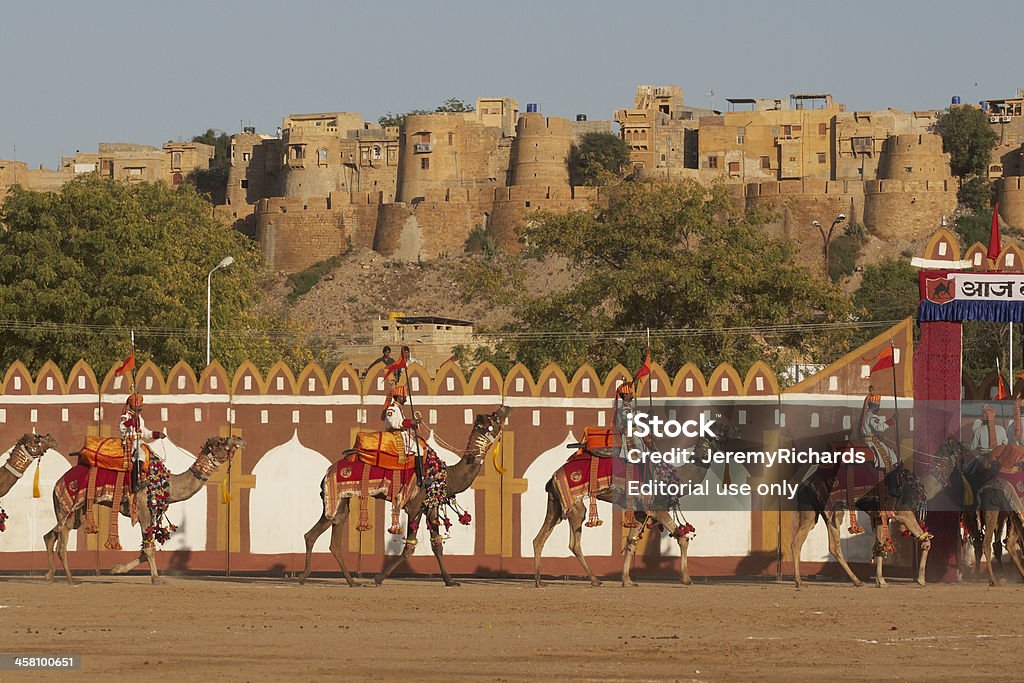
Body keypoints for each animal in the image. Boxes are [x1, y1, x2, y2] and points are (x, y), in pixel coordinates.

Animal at [44, 436, 245, 585]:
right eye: (221, 441)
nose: (240, 439)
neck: (167, 484)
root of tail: (56, 485)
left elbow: (145, 548)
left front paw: (117, 568)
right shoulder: (143, 512)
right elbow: (149, 548)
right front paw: (156, 578)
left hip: (76, 512)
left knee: (51, 534)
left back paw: (50, 576)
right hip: (69, 506)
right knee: (61, 540)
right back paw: (71, 580)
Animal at [299, 405, 509, 589]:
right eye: (494, 417)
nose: (506, 408)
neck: (446, 476)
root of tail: (328, 471)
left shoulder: (430, 506)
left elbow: (437, 545)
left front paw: (450, 581)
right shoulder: (415, 506)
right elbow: (409, 547)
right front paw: (377, 578)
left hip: (342, 501)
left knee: (328, 535)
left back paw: (345, 581)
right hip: (335, 498)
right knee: (319, 532)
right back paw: (309, 578)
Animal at [532, 428, 733, 589]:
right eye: (720, 435)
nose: (732, 446)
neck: (676, 477)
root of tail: (552, 477)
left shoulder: (639, 512)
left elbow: (631, 542)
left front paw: (627, 581)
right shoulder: (657, 507)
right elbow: (682, 538)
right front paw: (687, 579)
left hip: (555, 505)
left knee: (539, 538)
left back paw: (539, 581)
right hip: (575, 505)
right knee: (574, 543)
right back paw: (595, 580)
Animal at [786, 436, 962, 589]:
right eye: (960, 448)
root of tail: (805, 483)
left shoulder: (879, 517)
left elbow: (880, 545)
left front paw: (881, 581)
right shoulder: (904, 513)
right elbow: (925, 541)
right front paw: (921, 580)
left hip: (810, 510)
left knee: (803, 542)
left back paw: (803, 581)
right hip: (833, 510)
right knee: (829, 545)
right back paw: (852, 581)